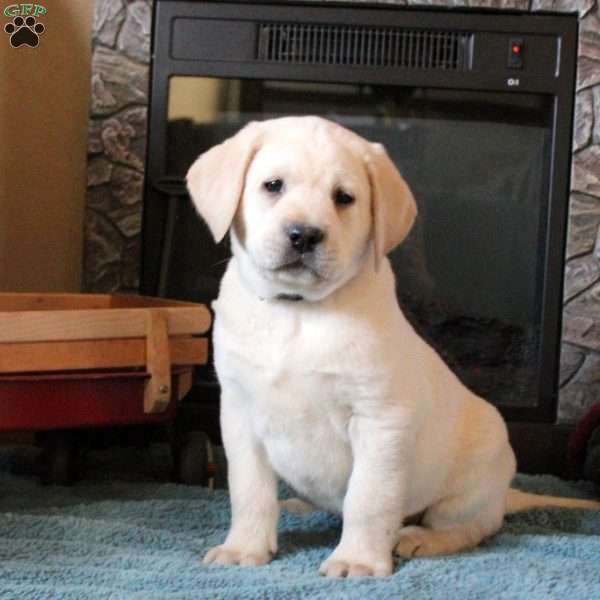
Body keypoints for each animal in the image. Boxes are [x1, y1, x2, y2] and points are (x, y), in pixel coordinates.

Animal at [185, 115, 596, 580]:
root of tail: (503, 493)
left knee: (471, 527)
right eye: (273, 185)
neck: (299, 312)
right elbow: (249, 491)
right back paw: (299, 505)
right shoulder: (239, 412)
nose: (304, 235)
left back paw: (421, 538)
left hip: (473, 477)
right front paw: (244, 548)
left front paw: (357, 559)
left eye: (344, 198)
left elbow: (368, 498)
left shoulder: (380, 420)